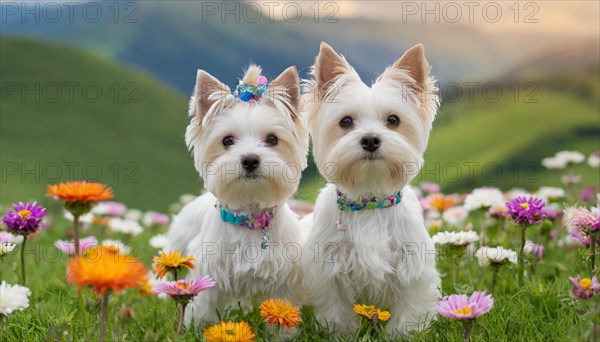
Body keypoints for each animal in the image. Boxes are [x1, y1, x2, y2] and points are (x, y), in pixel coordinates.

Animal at [166, 65, 310, 326]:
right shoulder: (210, 274)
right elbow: (201, 309)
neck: (249, 219)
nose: (250, 160)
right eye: (227, 140)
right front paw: (194, 327)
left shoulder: (284, 280)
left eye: (272, 139)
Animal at [302, 43, 438, 336]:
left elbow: (408, 312)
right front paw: (342, 334)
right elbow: (337, 313)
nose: (371, 140)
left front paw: (402, 335)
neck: (369, 201)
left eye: (393, 119)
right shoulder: (330, 270)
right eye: (345, 121)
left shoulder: (412, 267)